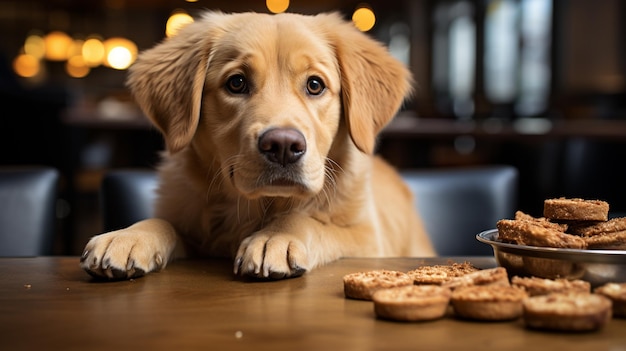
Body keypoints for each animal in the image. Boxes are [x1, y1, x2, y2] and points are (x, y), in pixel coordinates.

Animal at [80, 10, 434, 280]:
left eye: (315, 85)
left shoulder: (368, 238)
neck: (261, 206)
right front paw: (127, 236)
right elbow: (164, 221)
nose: (283, 145)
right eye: (236, 83)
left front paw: (275, 237)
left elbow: (308, 220)